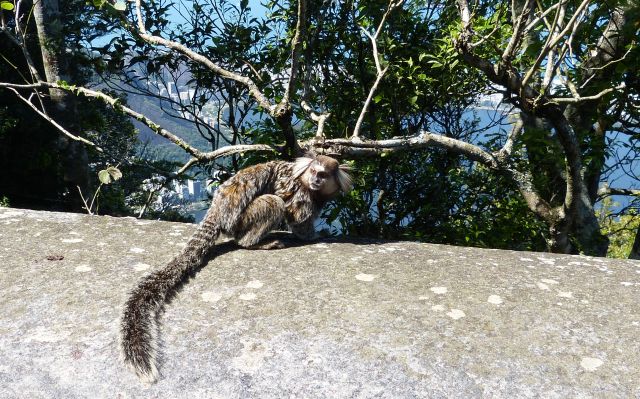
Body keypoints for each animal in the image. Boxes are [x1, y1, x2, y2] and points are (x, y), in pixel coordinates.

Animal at [119, 154, 350, 384]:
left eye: (323, 175)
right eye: (314, 172)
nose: (316, 180)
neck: (308, 185)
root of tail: (217, 211)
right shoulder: (301, 192)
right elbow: (297, 216)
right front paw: (314, 237)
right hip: (241, 221)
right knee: (272, 203)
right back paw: (255, 243)